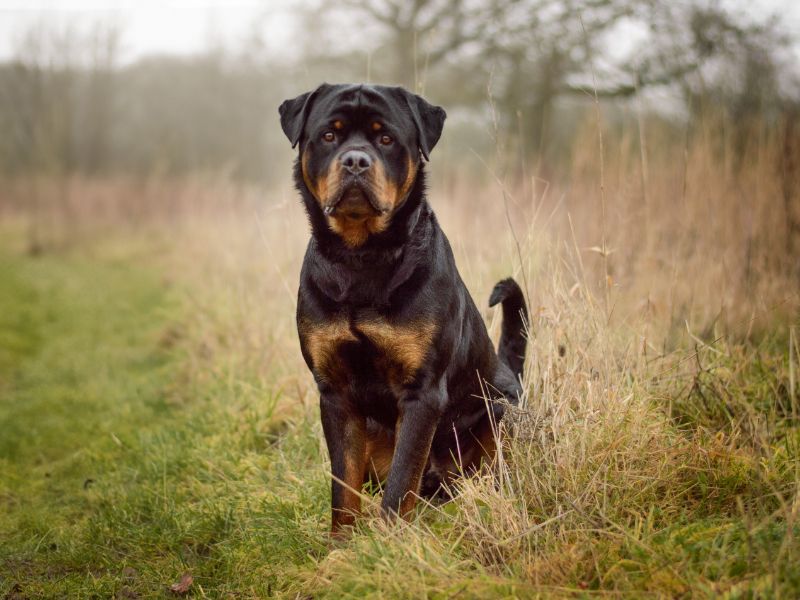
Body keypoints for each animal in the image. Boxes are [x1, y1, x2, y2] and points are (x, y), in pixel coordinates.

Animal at [278, 82, 528, 536]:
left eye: (386, 139)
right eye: (329, 135)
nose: (355, 160)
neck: (362, 257)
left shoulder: (421, 391)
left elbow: (400, 482)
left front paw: (388, 541)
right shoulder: (335, 391)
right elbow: (343, 485)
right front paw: (340, 545)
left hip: (500, 413)